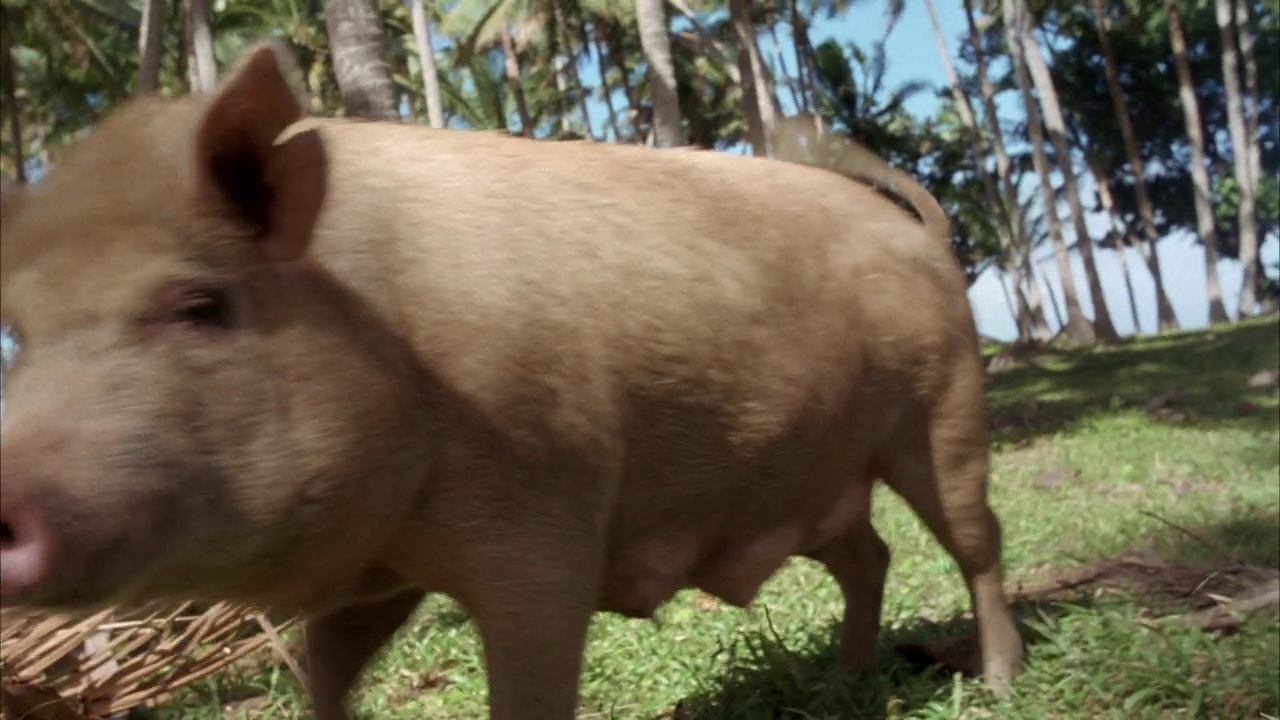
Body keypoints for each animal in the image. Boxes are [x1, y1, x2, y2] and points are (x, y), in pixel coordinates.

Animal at [0, 37, 1018, 717]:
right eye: (18, 333)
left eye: (199, 304)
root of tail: (921, 233)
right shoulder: (370, 577)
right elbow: (328, 676)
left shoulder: (543, 525)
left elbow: (529, 673)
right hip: (811, 477)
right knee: (869, 554)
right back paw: (849, 678)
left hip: (946, 405)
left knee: (976, 541)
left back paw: (999, 679)